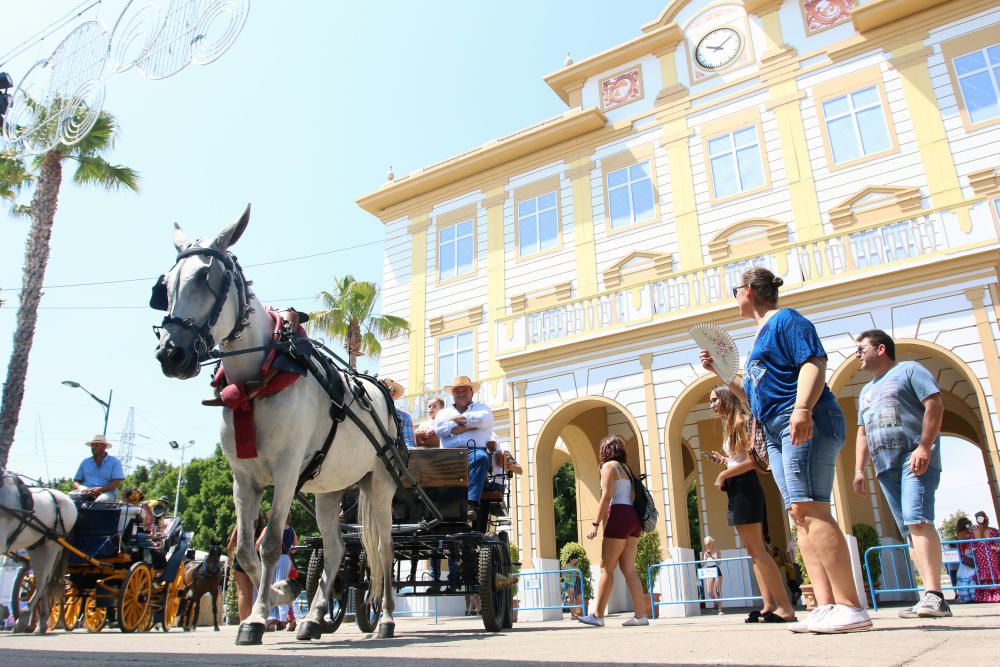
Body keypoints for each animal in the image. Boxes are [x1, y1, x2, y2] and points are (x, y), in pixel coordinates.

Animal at [0, 472, 77, 636]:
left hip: (52, 544)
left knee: (43, 580)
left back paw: (25, 618)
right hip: (36, 547)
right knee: (42, 580)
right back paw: (41, 620)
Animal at [152, 209, 398, 648]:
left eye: (208, 277)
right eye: (166, 285)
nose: (171, 353)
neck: (258, 379)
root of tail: (380, 391)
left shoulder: (285, 471)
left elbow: (269, 544)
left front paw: (256, 617)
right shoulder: (243, 477)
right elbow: (245, 551)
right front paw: (280, 594)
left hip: (380, 484)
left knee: (384, 549)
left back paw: (385, 618)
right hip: (329, 489)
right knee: (336, 548)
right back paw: (314, 617)